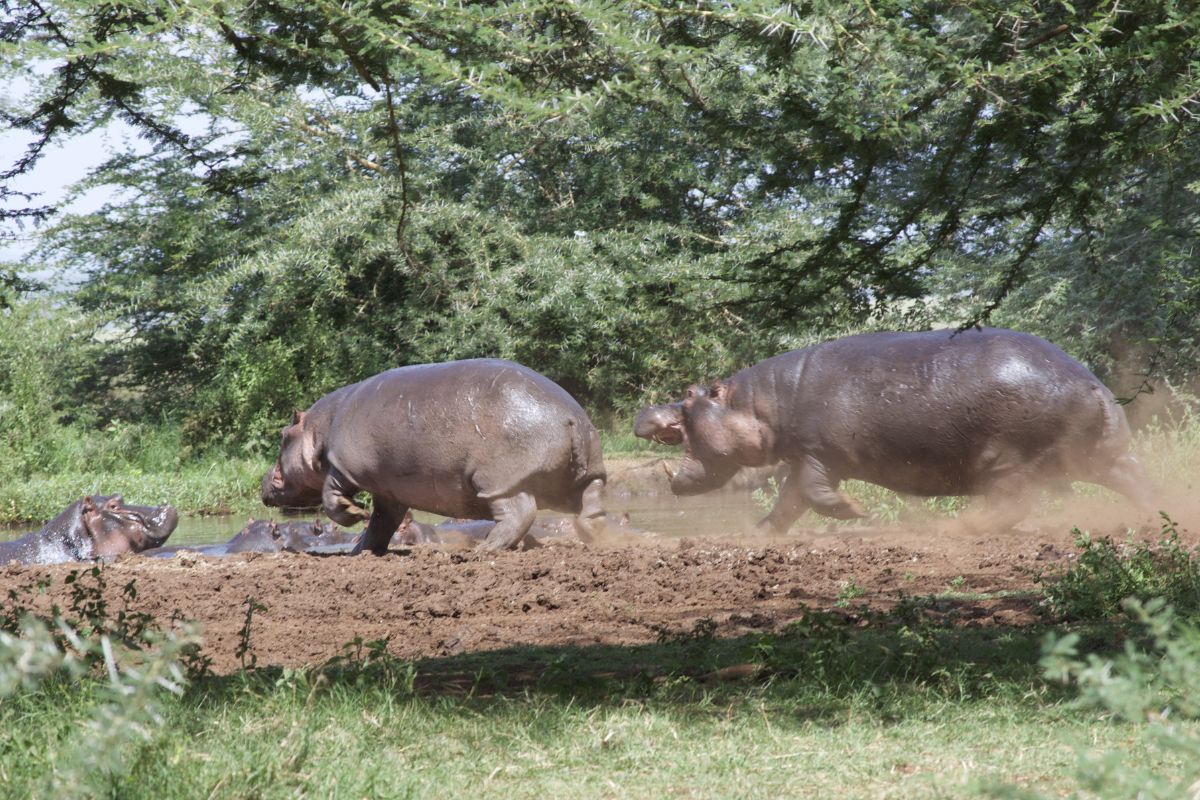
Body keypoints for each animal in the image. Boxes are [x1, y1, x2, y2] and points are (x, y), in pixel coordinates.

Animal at [261, 359, 607, 554]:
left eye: (283, 435)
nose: (264, 480)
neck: (318, 429)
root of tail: (571, 418)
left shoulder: (343, 466)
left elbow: (332, 497)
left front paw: (354, 512)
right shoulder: (389, 491)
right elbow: (382, 523)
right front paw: (360, 551)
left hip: (498, 481)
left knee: (520, 513)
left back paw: (486, 548)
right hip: (586, 474)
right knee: (592, 507)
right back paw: (595, 537)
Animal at [634, 328, 1155, 531]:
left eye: (689, 396)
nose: (646, 412)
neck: (762, 404)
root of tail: (1091, 384)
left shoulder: (817, 453)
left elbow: (812, 494)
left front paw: (856, 511)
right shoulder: (805, 457)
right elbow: (788, 505)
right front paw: (760, 533)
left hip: (1006, 460)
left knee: (1011, 504)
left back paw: (956, 526)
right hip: (1099, 455)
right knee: (1135, 477)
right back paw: (1157, 514)